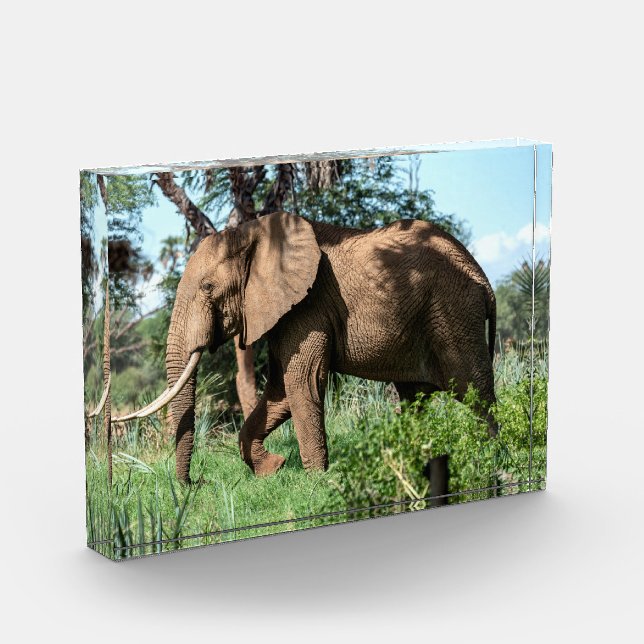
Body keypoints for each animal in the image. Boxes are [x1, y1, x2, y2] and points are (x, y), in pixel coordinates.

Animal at [114, 211, 497, 483]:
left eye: (208, 288)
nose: (196, 484)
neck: (252, 232)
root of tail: (483, 277)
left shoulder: (308, 305)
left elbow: (302, 382)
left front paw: (315, 481)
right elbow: (280, 392)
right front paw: (273, 468)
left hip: (453, 311)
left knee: (474, 389)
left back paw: (492, 456)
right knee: (415, 397)